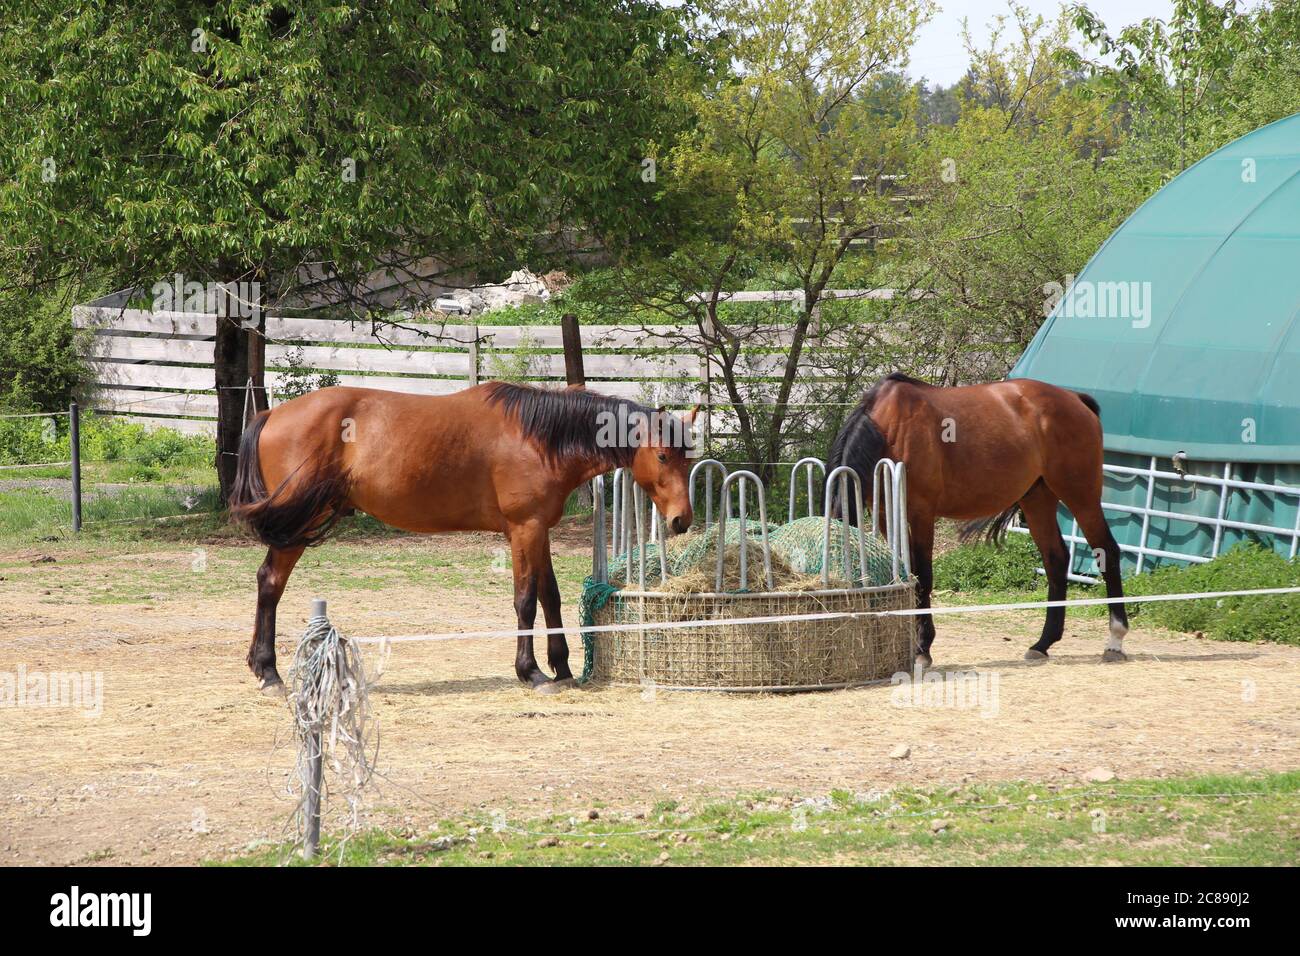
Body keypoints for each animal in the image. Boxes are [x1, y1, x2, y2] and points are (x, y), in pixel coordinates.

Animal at [233, 382, 702, 697]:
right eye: (663, 455)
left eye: (689, 456)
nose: (682, 520)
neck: (536, 437)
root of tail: (270, 416)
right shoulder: (523, 529)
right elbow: (526, 600)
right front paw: (532, 672)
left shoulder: (539, 530)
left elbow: (550, 596)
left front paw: (563, 668)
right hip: (298, 525)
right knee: (271, 583)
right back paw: (270, 673)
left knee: (266, 582)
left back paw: (263, 668)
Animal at [832, 374, 1128, 665]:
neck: (889, 430)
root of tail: (1076, 399)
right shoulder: (885, 515)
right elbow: (903, 572)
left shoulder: (920, 514)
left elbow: (923, 576)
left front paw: (923, 648)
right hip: (1037, 499)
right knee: (1056, 559)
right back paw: (1042, 644)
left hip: (1080, 496)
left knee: (1106, 551)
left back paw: (1115, 640)